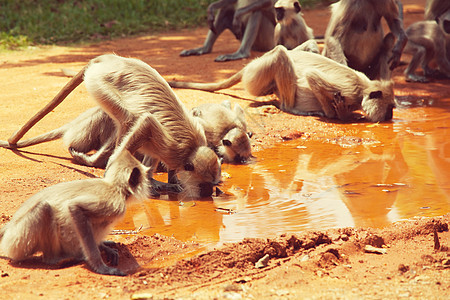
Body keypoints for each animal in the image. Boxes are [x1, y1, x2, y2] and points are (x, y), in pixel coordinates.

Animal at [0, 149, 150, 276]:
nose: (150, 184)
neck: (115, 186)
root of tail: (10, 225)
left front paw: (103, 246)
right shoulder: (114, 202)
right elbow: (75, 207)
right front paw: (100, 267)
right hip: (17, 241)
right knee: (44, 208)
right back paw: (54, 258)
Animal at [6, 54, 222, 199]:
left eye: (212, 184)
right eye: (205, 184)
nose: (208, 192)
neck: (191, 150)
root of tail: (111, 58)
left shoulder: (173, 151)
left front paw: (168, 180)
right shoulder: (173, 148)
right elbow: (147, 122)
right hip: (98, 82)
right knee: (128, 119)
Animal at [169, 43, 394, 123]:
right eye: (390, 108)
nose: (391, 116)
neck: (364, 88)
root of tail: (252, 63)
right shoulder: (350, 90)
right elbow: (312, 76)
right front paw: (338, 114)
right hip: (256, 75)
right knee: (281, 53)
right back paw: (291, 107)